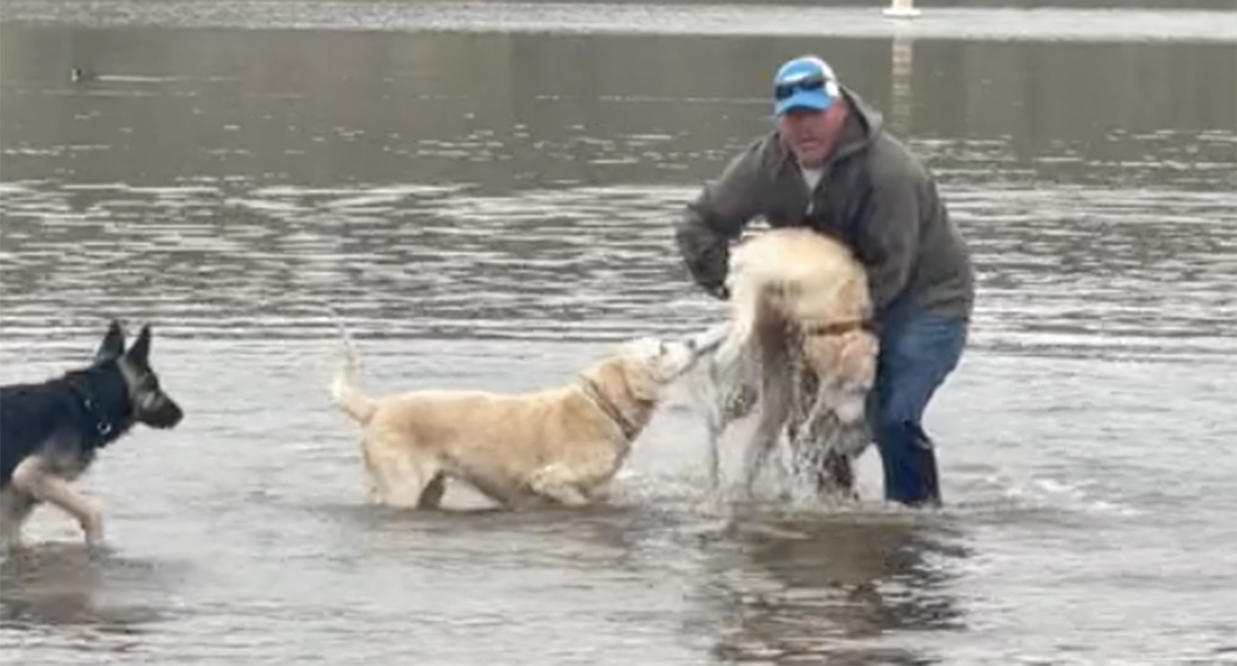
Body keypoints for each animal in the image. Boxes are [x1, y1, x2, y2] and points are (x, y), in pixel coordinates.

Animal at [329, 334, 717, 505]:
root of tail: (375, 407)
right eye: (661, 349)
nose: (693, 341)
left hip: (430, 487)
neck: (603, 407)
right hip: (403, 486)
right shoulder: (549, 480)